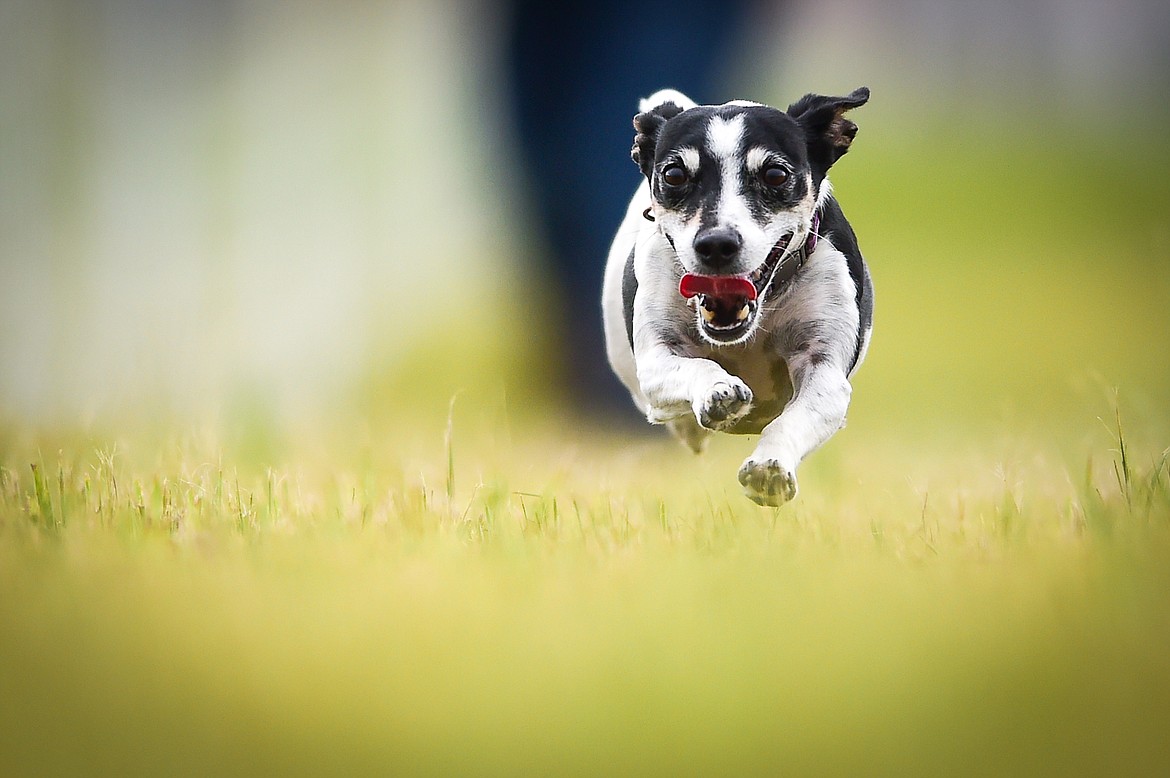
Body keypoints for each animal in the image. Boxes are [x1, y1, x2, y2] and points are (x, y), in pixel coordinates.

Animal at [608, 87, 875, 507]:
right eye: (674, 174)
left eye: (775, 174)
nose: (716, 243)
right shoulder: (655, 361)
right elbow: (694, 367)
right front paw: (718, 391)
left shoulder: (825, 369)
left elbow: (797, 416)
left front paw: (769, 467)